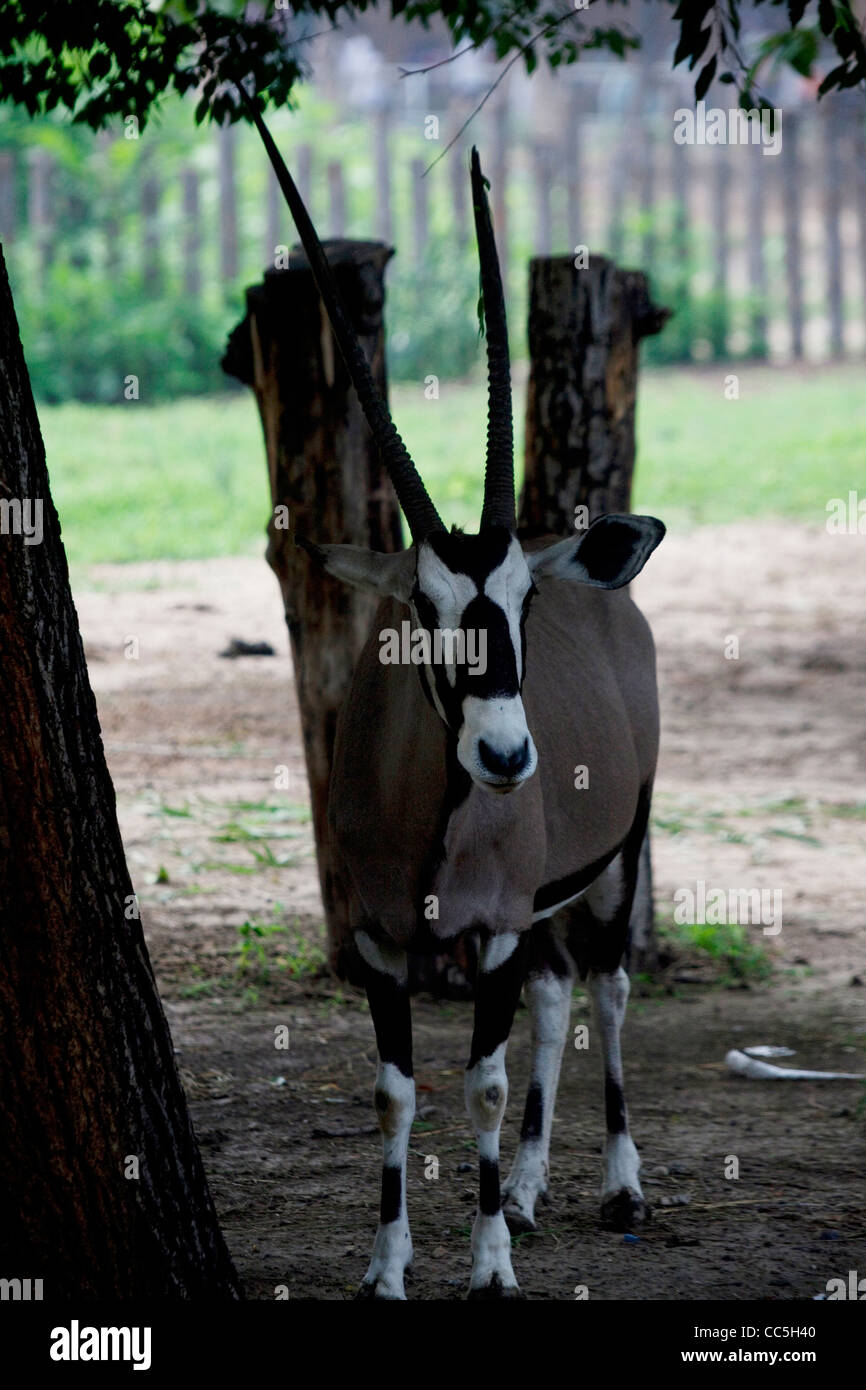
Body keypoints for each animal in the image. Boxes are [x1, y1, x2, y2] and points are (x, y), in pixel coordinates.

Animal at [254, 108, 667, 1301]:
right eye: (424, 604)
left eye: (521, 599)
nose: (505, 758)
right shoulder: (386, 939)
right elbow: (398, 1091)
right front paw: (387, 1269)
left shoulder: (485, 932)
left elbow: (478, 1083)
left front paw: (485, 1270)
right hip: (542, 901)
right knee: (556, 996)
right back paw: (524, 1191)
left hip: (621, 850)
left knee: (607, 987)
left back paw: (615, 1185)